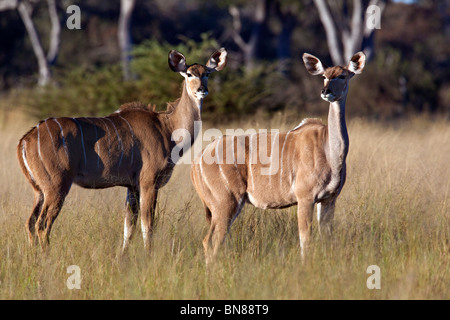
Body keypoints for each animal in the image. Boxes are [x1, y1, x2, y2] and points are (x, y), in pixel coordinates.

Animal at [17, 48, 229, 251]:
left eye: (207, 73)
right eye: (189, 74)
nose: (202, 90)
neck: (167, 127)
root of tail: (25, 139)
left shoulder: (131, 187)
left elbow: (128, 228)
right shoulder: (148, 182)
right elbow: (147, 225)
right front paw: (148, 254)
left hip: (40, 191)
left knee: (30, 223)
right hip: (56, 187)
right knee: (42, 225)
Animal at [191, 52, 366, 262]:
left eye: (342, 76)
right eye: (324, 76)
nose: (326, 91)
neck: (330, 152)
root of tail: (197, 161)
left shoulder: (329, 200)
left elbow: (326, 237)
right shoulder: (305, 198)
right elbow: (305, 240)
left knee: (210, 240)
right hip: (226, 202)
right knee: (213, 240)